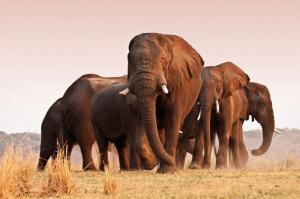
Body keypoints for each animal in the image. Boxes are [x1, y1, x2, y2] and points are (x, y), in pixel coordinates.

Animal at [120, 32, 205, 173]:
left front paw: (168, 170)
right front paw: (153, 163)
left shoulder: (178, 83)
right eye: (129, 60)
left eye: (163, 59)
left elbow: (173, 118)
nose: (175, 163)